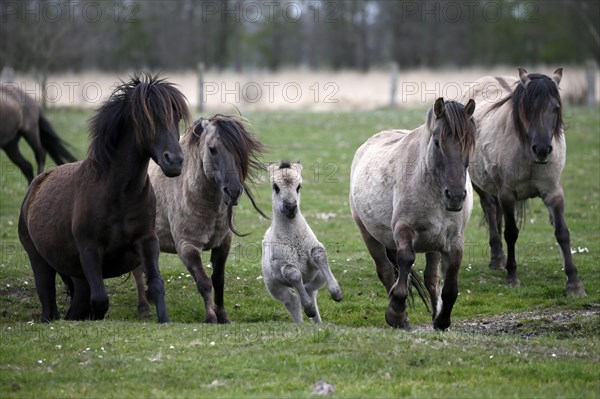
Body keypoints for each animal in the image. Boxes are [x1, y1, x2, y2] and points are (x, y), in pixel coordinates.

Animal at [19, 75, 190, 324]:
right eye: (147, 117)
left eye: (176, 117)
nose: (175, 161)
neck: (119, 194)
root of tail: (35, 186)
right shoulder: (89, 249)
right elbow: (100, 299)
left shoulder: (147, 241)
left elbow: (156, 285)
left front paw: (163, 320)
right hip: (40, 264)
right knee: (49, 306)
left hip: (77, 275)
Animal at [136, 115, 268, 324]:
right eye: (212, 149)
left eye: (241, 149)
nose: (233, 191)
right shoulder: (187, 247)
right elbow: (204, 282)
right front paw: (211, 317)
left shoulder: (223, 245)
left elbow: (218, 280)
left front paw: (223, 315)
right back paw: (144, 309)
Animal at [350, 97, 476, 332]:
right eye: (437, 142)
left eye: (469, 143)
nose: (455, 196)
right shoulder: (404, 229)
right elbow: (405, 262)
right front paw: (397, 313)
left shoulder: (454, 240)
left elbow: (449, 284)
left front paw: (442, 320)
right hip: (368, 234)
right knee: (386, 271)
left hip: (433, 243)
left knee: (432, 278)